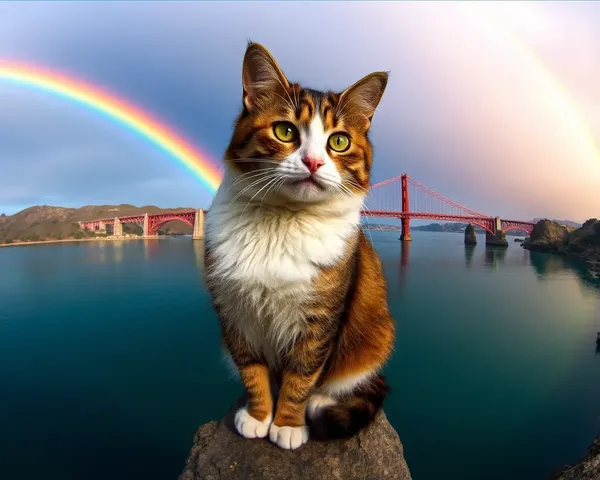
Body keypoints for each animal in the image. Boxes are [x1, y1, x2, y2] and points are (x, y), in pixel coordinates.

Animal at [204, 41, 396, 450]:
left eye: (339, 141)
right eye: (284, 131)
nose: (313, 161)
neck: (284, 220)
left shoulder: (320, 320)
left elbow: (303, 374)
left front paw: (288, 423)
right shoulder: (235, 313)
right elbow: (252, 371)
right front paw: (259, 415)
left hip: (375, 333)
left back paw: (321, 401)